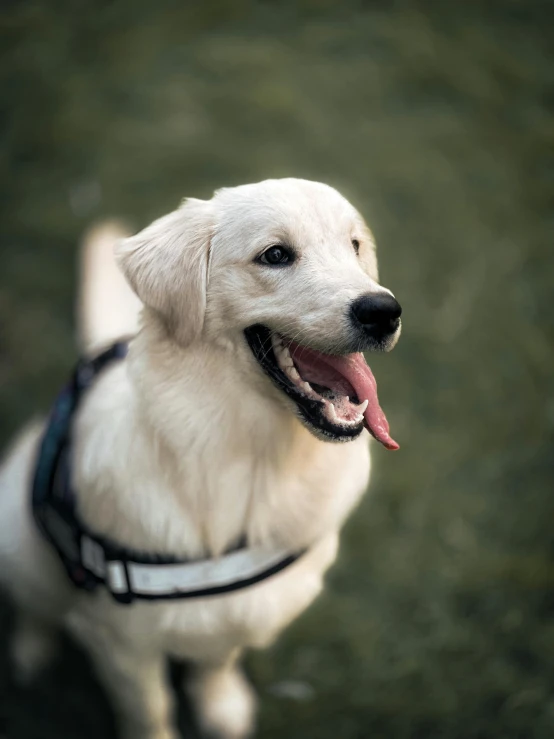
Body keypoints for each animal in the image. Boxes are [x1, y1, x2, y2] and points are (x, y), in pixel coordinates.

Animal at [0, 179, 396, 739]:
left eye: (355, 245)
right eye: (275, 255)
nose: (384, 311)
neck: (253, 458)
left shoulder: (234, 612)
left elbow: (215, 662)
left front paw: (221, 707)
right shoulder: (120, 642)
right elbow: (150, 710)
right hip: (18, 536)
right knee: (34, 605)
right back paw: (31, 654)